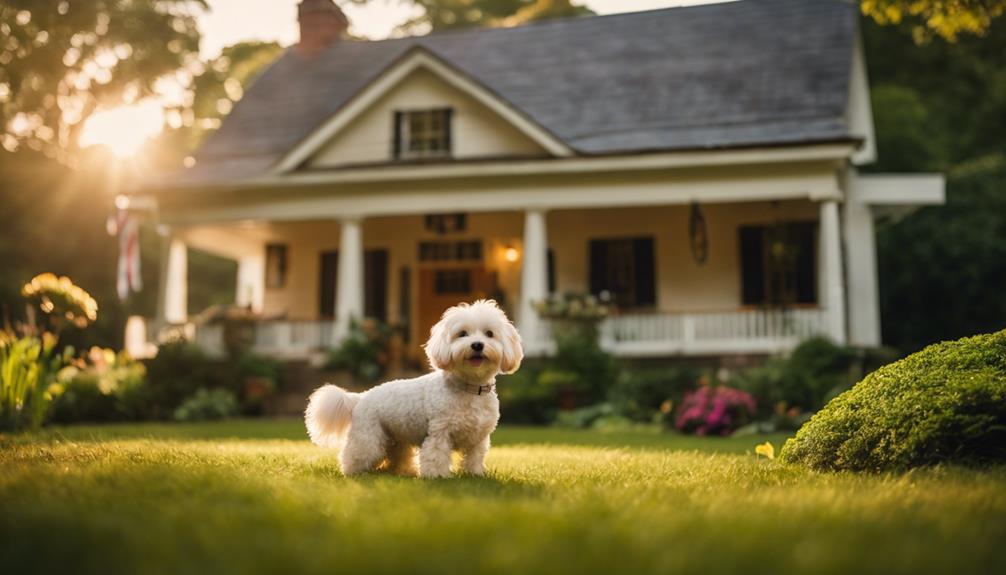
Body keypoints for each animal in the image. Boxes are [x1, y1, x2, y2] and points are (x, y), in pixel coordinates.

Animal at [303, 299, 523, 478]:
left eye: (489, 334)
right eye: (462, 334)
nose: (477, 345)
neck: (469, 387)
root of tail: (361, 397)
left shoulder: (479, 439)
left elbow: (475, 458)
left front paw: (475, 474)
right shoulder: (439, 434)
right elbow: (435, 456)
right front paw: (437, 477)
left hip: (397, 440)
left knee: (396, 459)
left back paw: (404, 472)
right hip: (368, 437)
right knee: (355, 454)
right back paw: (353, 473)